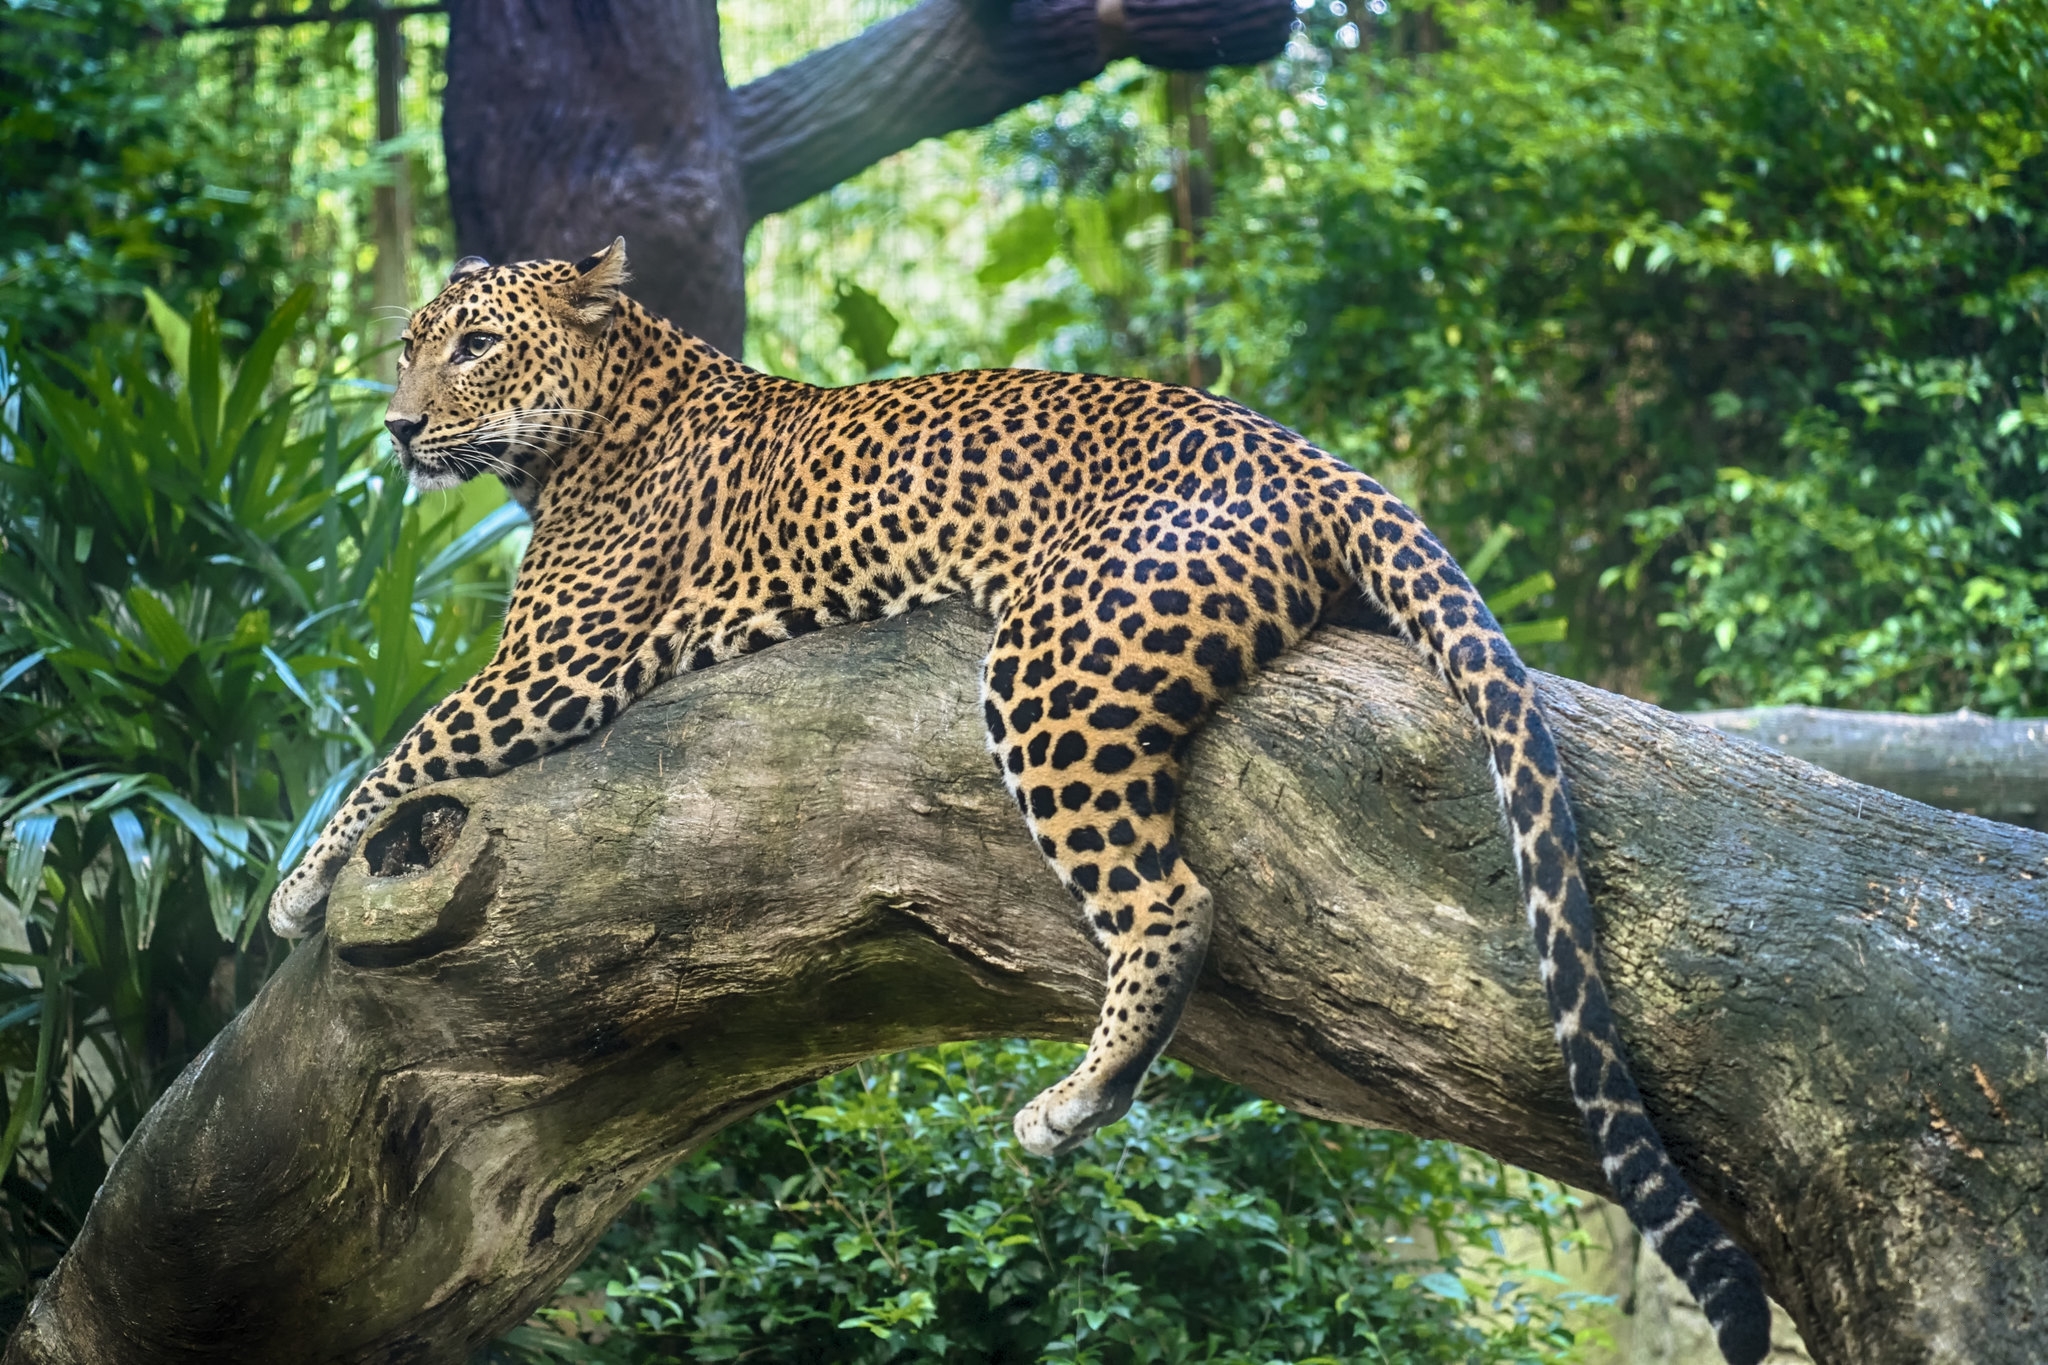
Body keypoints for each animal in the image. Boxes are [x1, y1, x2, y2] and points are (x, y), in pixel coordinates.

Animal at [268, 240, 1777, 1358]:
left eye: (473, 346)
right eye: (408, 343)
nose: (399, 427)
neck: (591, 418)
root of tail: (1311, 452)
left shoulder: (556, 662)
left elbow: (399, 747)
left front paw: (292, 889)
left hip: (1051, 667)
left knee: (1171, 899)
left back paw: (1072, 1102)